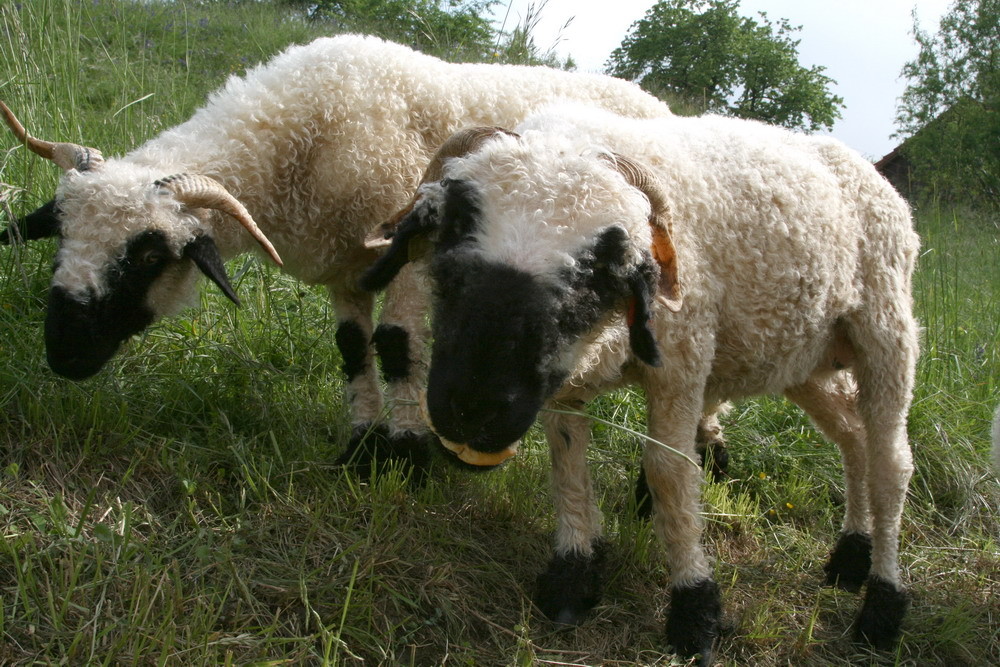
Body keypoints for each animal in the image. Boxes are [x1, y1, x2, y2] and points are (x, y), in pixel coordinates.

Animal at [3, 36, 676, 478]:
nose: (63, 355)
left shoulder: (410, 252)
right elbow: (352, 349)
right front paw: (361, 445)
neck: (295, 140)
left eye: (146, 256)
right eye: (60, 232)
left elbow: (399, 344)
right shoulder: (343, 267)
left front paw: (407, 456)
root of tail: (649, 96)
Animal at [364, 104, 916, 664]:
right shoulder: (566, 382)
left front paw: (695, 610)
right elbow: (568, 465)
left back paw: (881, 605)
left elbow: (670, 474)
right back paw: (850, 557)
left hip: (885, 329)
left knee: (891, 464)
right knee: (853, 437)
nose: (473, 410)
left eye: (597, 266)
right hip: (805, 359)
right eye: (454, 227)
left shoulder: (682, 365)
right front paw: (572, 581)